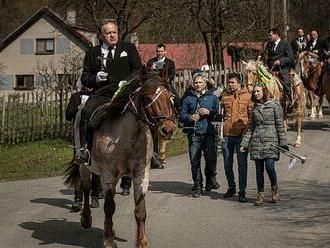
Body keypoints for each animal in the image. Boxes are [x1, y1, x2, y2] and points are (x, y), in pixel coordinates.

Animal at [65, 70, 178, 247]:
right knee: (86, 188)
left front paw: (141, 242)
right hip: (84, 165)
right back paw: (86, 219)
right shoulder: (108, 176)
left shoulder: (141, 175)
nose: (168, 130)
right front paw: (109, 240)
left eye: (171, 97)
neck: (127, 137)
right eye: (146, 98)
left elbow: (140, 211)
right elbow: (109, 207)